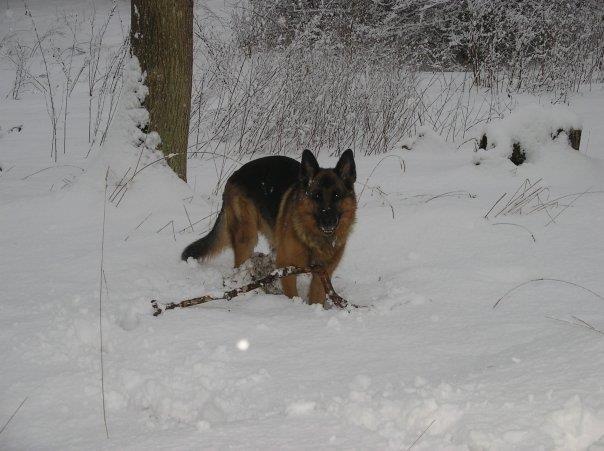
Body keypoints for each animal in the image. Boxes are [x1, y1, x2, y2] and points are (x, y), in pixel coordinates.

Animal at [182, 150, 356, 306]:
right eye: (317, 196)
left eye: (337, 196)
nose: (328, 222)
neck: (315, 239)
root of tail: (235, 174)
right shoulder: (286, 268)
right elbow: (292, 296)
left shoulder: (322, 275)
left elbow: (316, 299)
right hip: (247, 236)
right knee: (240, 267)